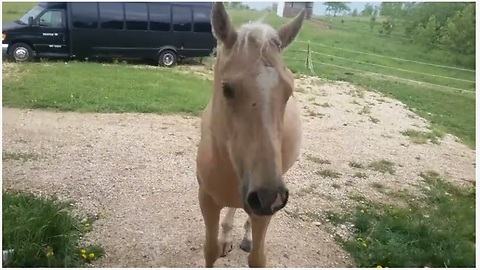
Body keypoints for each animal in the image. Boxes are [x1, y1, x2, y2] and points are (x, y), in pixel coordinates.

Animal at [195, 2, 304, 268]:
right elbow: (210, 250)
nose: (268, 196)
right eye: (227, 89)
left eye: (289, 91)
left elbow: (257, 258)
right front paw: (221, 240)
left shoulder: (263, 212)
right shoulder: (207, 200)